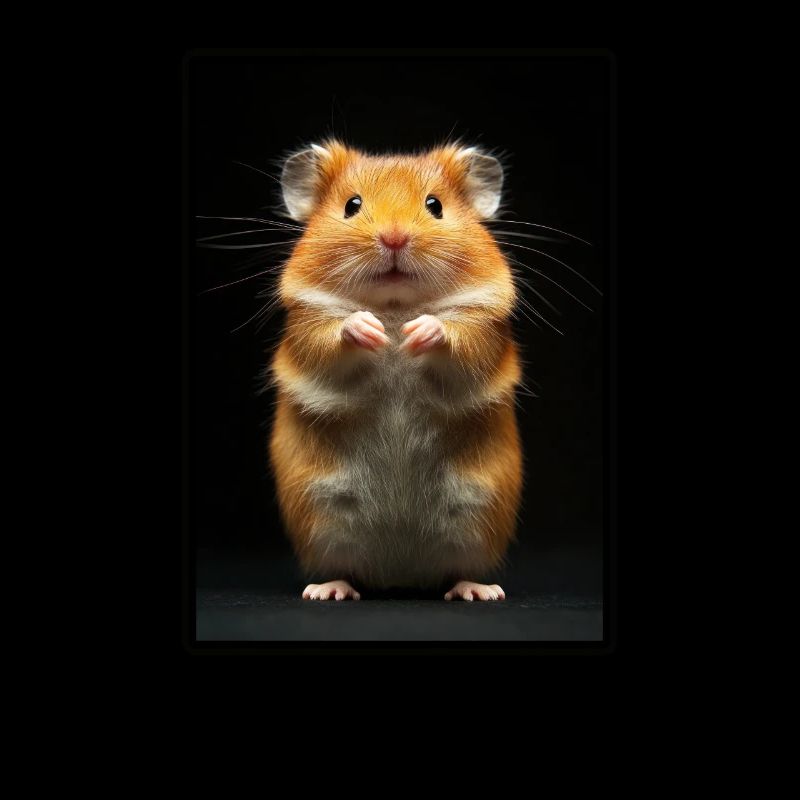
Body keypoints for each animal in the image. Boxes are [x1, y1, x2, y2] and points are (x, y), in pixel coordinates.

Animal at [269, 140, 522, 601]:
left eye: (435, 205)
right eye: (351, 205)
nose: (394, 237)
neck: (394, 303)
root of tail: (400, 576)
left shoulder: (483, 328)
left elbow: (459, 338)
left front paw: (416, 332)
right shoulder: (307, 326)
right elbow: (330, 337)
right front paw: (370, 330)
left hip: (477, 518)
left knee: (459, 570)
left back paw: (479, 591)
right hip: (321, 519)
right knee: (344, 569)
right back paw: (327, 590)